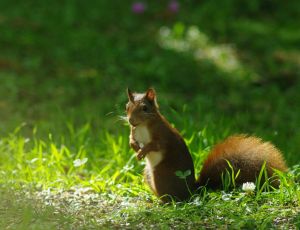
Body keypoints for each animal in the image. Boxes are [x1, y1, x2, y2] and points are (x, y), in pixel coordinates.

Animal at [125, 87, 288, 201]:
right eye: (127, 107)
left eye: (145, 108)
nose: (131, 121)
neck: (142, 126)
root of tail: (191, 190)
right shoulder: (134, 131)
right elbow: (131, 138)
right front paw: (134, 147)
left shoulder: (162, 135)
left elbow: (156, 145)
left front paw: (143, 151)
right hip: (148, 174)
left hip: (160, 174)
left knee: (173, 199)